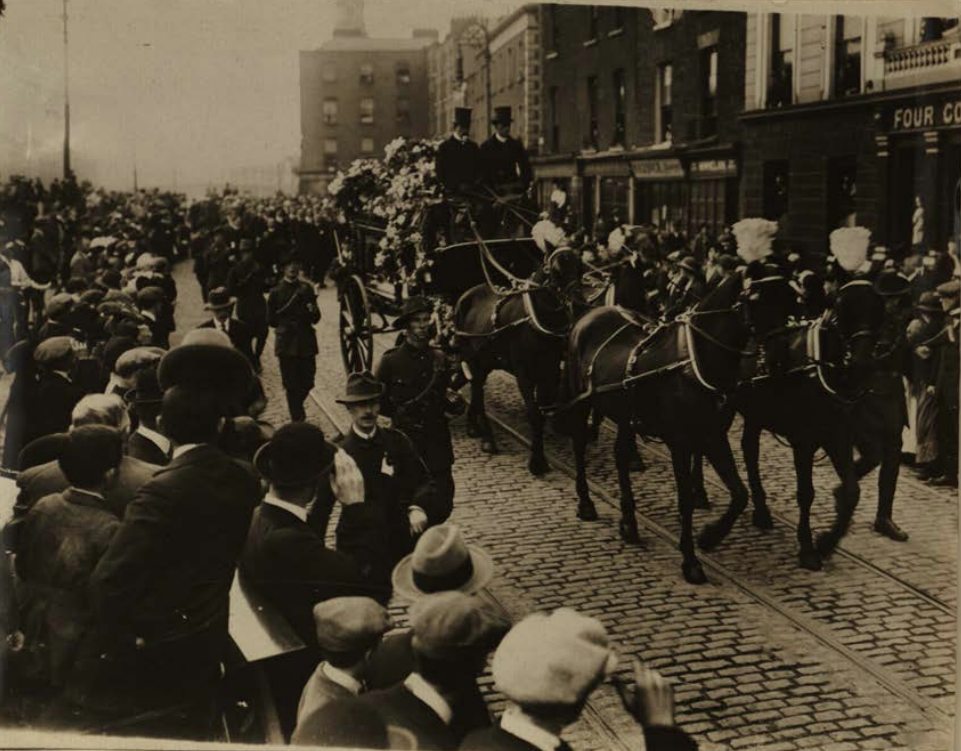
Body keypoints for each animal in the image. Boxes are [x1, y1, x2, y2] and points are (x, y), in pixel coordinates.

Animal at [454, 250, 580, 478]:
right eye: (556, 271)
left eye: (580, 266)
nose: (579, 303)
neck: (535, 321)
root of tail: (465, 295)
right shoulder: (524, 374)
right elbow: (534, 414)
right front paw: (536, 462)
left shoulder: (550, 373)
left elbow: (543, 412)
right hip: (471, 356)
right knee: (477, 390)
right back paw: (488, 439)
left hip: (485, 360)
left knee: (476, 389)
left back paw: (473, 426)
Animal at [564, 278, 764, 588]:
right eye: (758, 297)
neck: (693, 363)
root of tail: (589, 313)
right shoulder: (680, 444)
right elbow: (685, 501)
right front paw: (691, 561)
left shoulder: (714, 437)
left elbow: (740, 494)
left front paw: (709, 536)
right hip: (581, 400)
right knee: (579, 444)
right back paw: (586, 503)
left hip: (624, 414)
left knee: (621, 456)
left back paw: (629, 522)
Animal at [688, 280, 884, 568]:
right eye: (843, 307)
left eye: (879, 309)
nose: (863, 363)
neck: (817, 369)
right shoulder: (803, 440)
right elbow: (806, 493)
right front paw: (808, 548)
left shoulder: (839, 433)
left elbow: (854, 488)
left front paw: (826, 540)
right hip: (724, 408)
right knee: (704, 442)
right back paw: (700, 493)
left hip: (756, 411)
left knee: (749, 449)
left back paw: (760, 510)